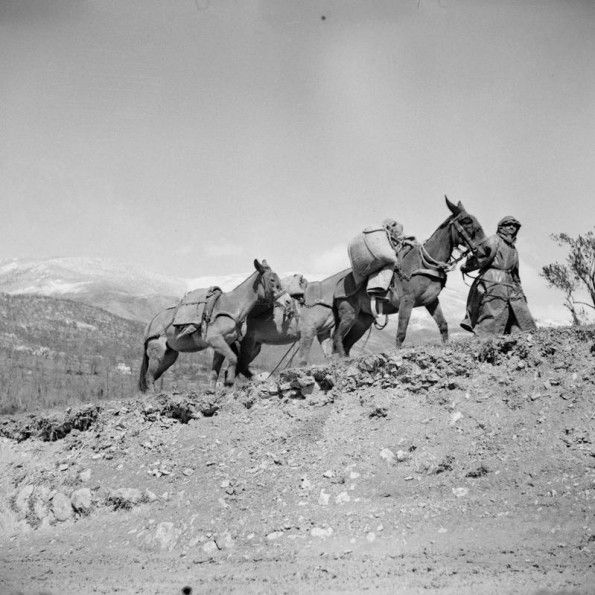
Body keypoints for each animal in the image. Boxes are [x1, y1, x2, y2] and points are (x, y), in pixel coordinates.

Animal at [140, 260, 288, 392]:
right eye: (272, 280)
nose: (287, 300)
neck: (232, 306)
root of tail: (151, 323)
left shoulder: (221, 344)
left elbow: (215, 371)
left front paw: (213, 390)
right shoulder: (215, 340)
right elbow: (233, 358)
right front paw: (229, 382)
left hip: (169, 356)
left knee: (153, 377)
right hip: (157, 353)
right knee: (149, 377)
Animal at [332, 196, 486, 354]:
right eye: (466, 221)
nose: (485, 249)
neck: (424, 264)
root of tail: (337, 286)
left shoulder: (431, 301)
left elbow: (443, 325)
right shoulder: (407, 301)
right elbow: (401, 332)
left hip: (363, 321)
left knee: (346, 343)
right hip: (349, 314)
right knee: (337, 339)